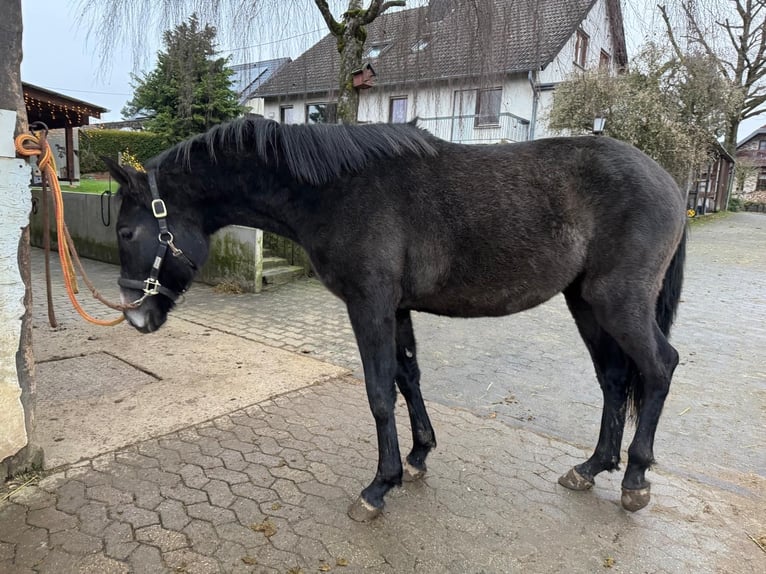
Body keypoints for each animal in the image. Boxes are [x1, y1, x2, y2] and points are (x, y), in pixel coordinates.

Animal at [105, 119, 688, 524]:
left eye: (128, 232)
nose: (135, 315)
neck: (334, 190)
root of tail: (669, 182)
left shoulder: (370, 305)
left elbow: (380, 391)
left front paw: (378, 487)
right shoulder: (397, 308)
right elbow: (408, 378)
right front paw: (418, 455)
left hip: (618, 303)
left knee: (660, 367)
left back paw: (636, 477)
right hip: (585, 303)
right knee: (614, 380)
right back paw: (592, 467)